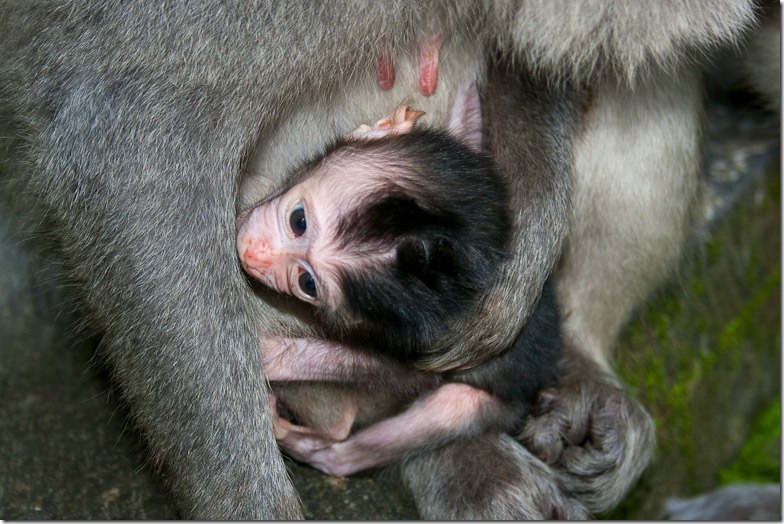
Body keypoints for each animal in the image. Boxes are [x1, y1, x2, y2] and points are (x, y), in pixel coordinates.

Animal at [236, 85, 560, 474]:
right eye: (298, 221)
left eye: (307, 283)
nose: (253, 254)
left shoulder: (423, 343)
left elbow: (397, 373)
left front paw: (270, 355)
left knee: (454, 404)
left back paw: (314, 447)